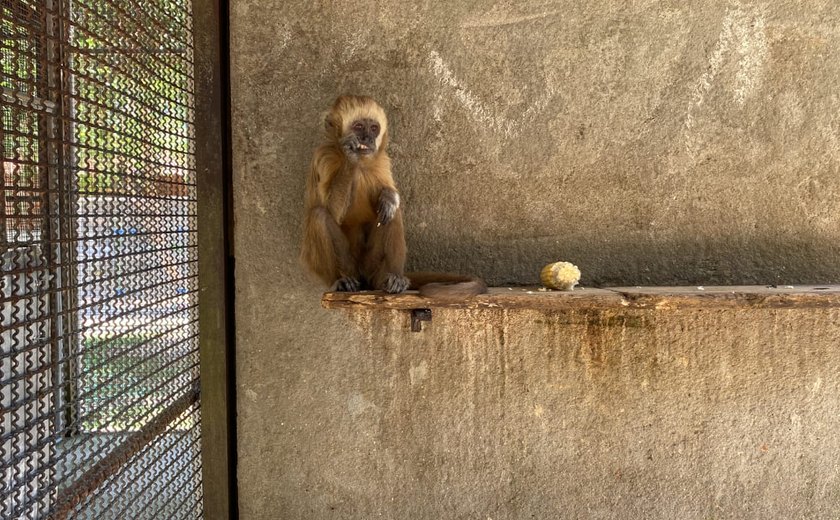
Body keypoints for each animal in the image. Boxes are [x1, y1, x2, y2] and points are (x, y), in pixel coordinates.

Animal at [300, 94, 486, 296]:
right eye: (358, 127)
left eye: (374, 128)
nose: (367, 138)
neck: (361, 164)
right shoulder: (324, 157)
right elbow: (331, 211)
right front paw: (350, 154)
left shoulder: (382, 160)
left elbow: (387, 200)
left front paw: (389, 196)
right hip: (351, 267)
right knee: (318, 216)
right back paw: (341, 280)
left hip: (372, 265)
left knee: (392, 213)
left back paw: (392, 278)